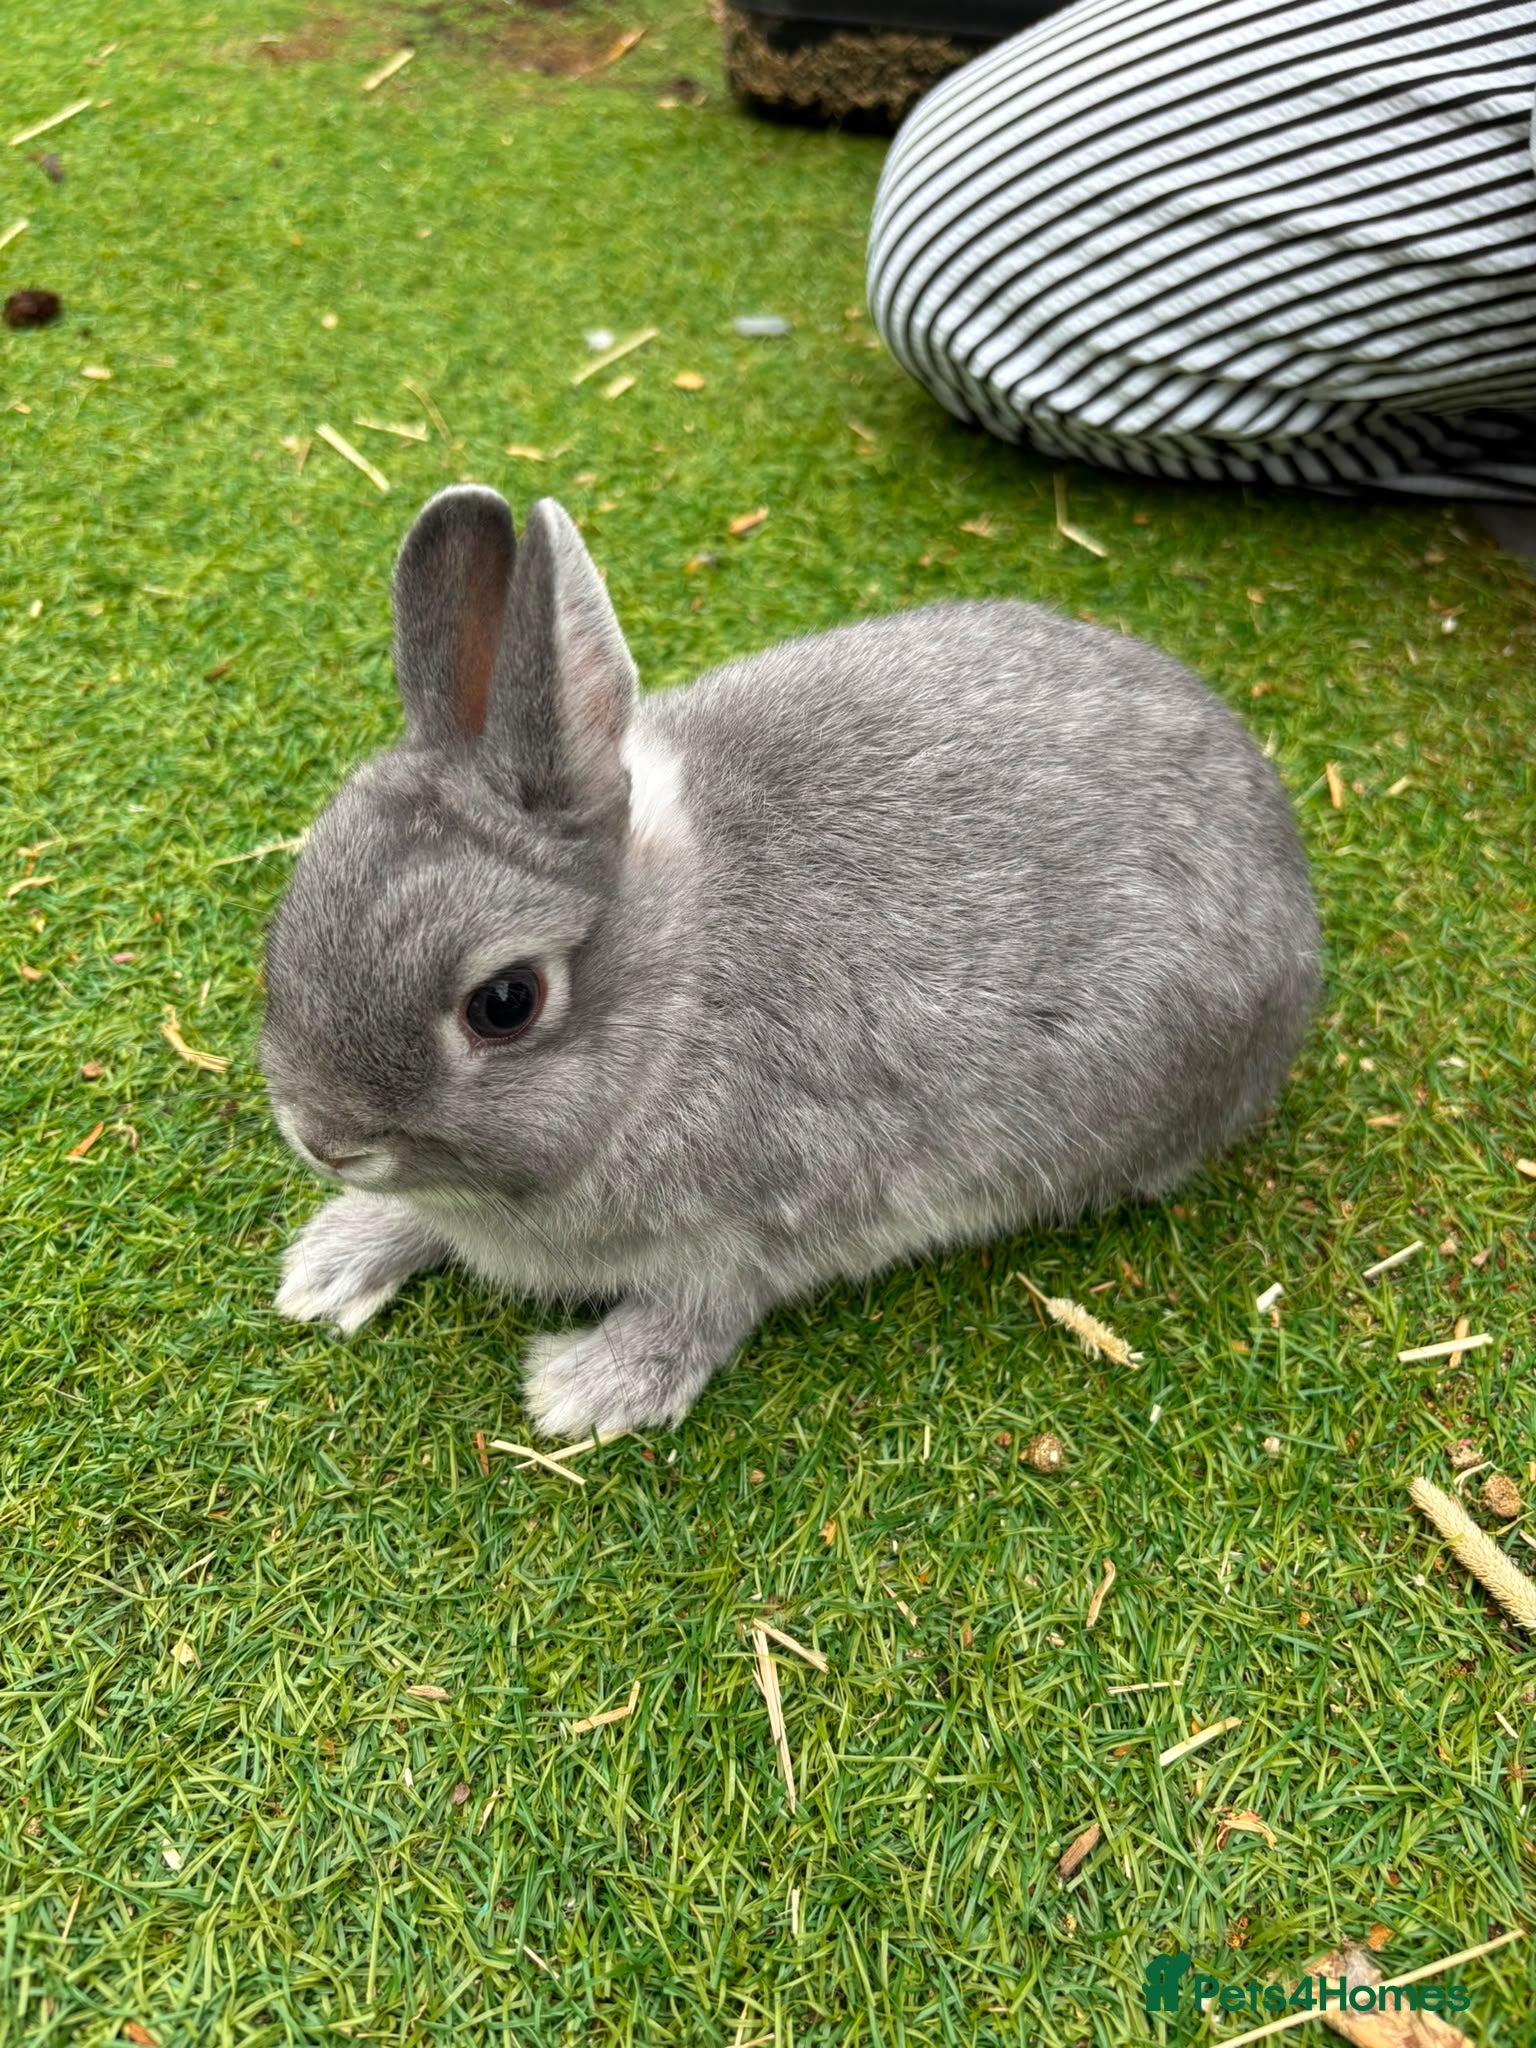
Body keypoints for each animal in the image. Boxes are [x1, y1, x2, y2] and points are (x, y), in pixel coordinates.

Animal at [260, 485, 1320, 1439]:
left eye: (505, 1002)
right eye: (306, 882)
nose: (326, 1139)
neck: (677, 988)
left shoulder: (769, 1220)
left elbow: (709, 1304)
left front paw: (589, 1390)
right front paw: (329, 1265)